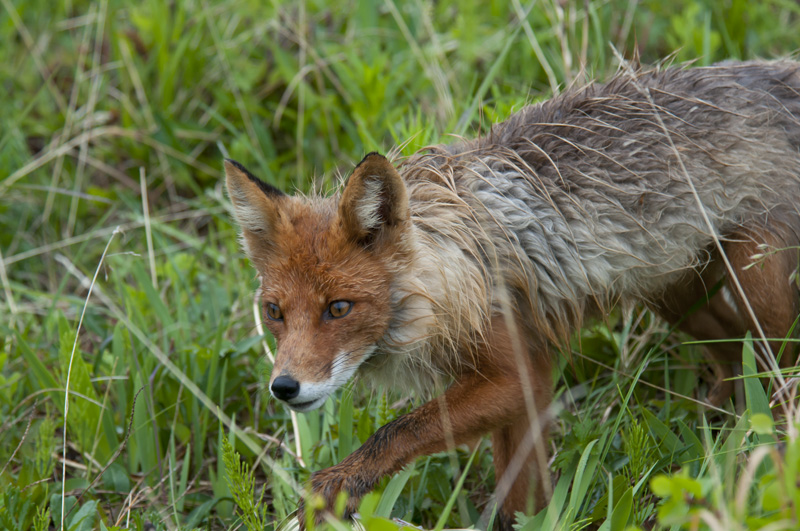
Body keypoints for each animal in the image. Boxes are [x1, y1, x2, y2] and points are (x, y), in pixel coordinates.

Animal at [225, 60, 800, 528]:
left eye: (338, 308)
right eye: (274, 312)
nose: (284, 388)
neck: (447, 274)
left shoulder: (518, 373)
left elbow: (398, 431)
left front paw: (335, 486)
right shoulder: (521, 389)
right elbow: (520, 497)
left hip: (756, 289)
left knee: (778, 374)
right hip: (675, 294)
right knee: (729, 358)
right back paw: (716, 438)